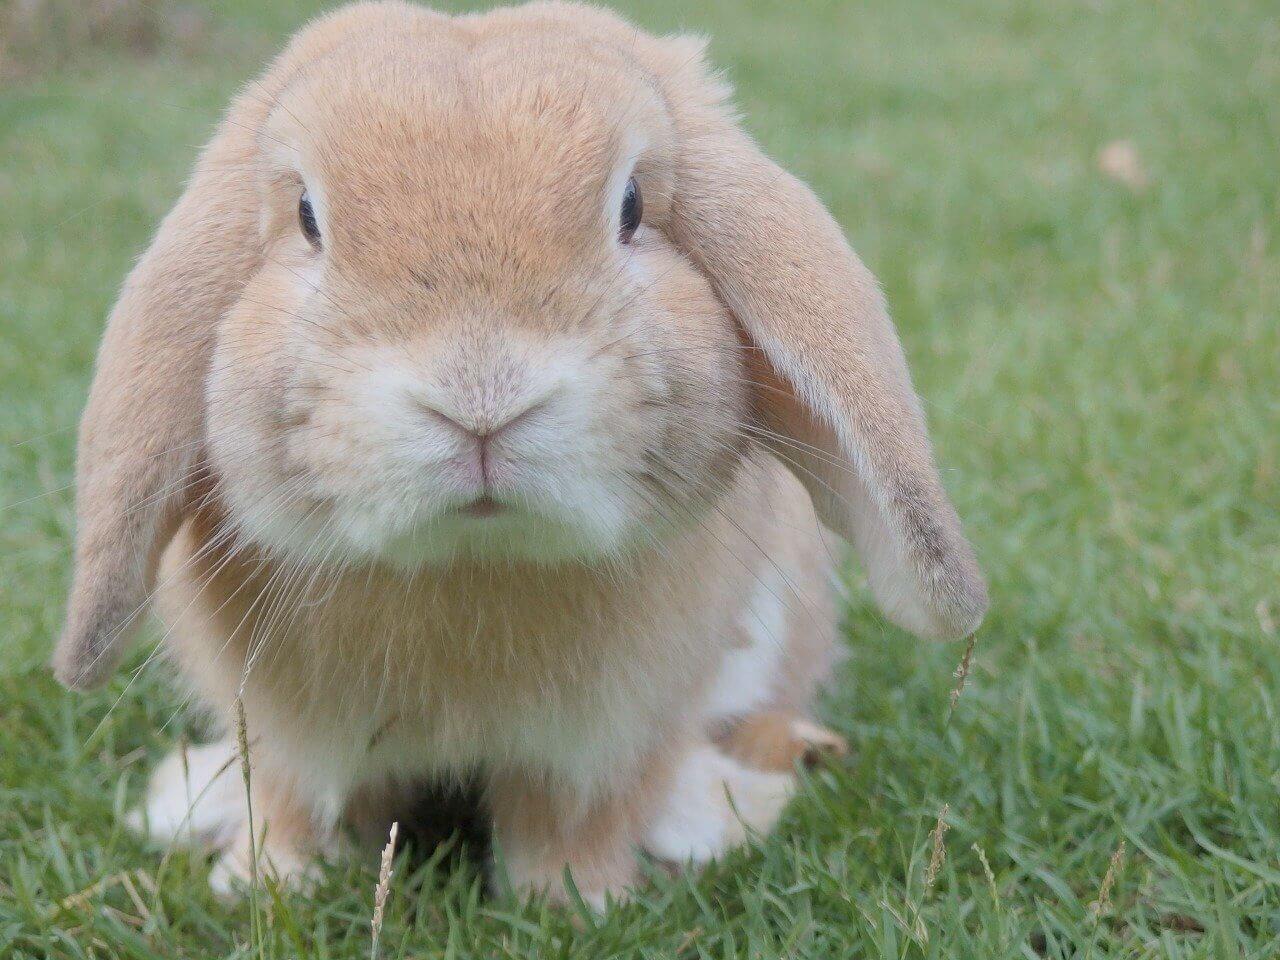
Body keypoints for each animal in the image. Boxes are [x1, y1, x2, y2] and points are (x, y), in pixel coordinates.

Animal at [53, 1, 987, 907]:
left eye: (632, 206)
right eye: (310, 219)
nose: (480, 396)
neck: (472, 562)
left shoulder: (605, 743)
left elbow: (571, 821)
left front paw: (576, 902)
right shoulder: (286, 737)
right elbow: (294, 804)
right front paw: (264, 884)